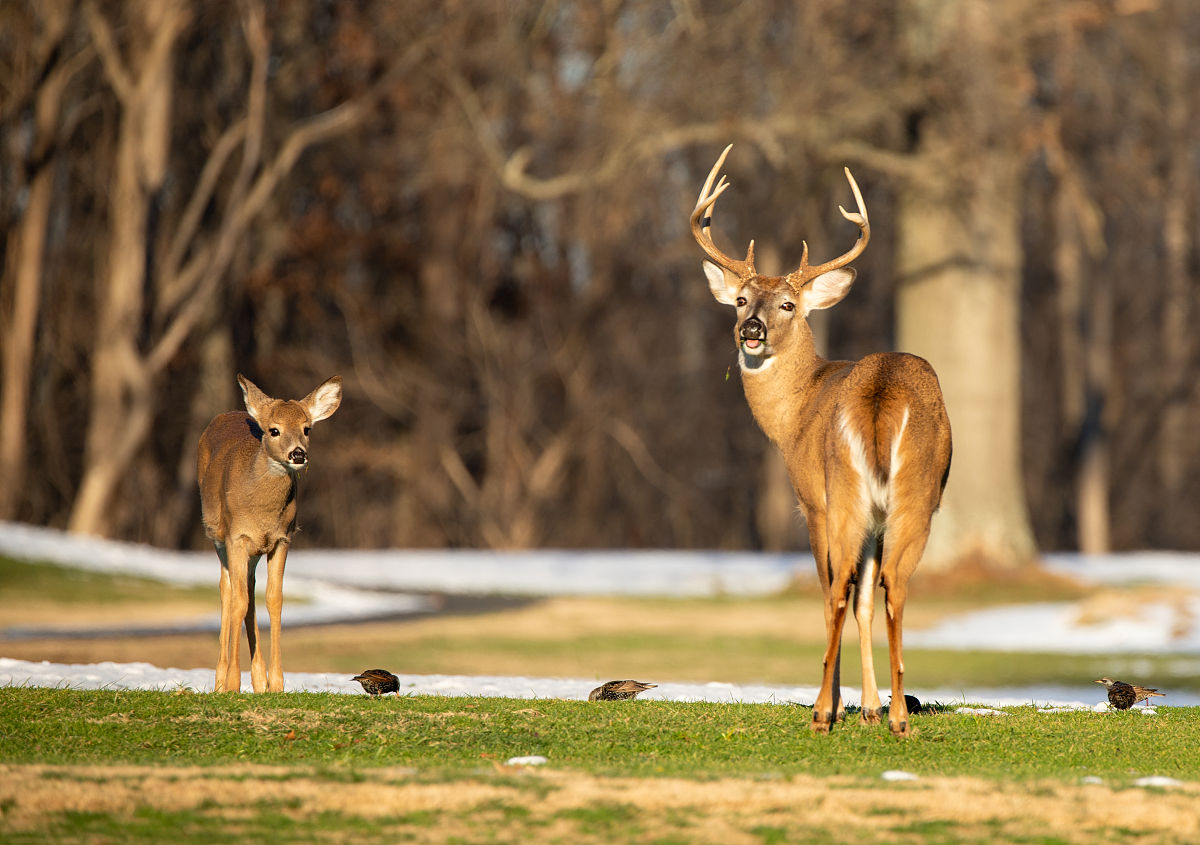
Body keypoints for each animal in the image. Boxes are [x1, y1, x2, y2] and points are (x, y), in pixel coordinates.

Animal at [197, 374, 342, 693]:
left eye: (306, 428)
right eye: (274, 430)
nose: (298, 454)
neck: (262, 512)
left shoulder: (282, 539)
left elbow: (274, 601)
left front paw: (276, 682)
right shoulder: (236, 537)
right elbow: (237, 601)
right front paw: (233, 684)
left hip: (253, 552)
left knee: (249, 591)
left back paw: (258, 679)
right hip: (218, 536)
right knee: (228, 591)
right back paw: (221, 680)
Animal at [691, 145, 951, 736]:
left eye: (788, 305)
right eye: (741, 300)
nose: (752, 330)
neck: (796, 412)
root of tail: (880, 393)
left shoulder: (810, 499)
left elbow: (835, 591)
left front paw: (840, 705)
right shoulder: (874, 518)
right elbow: (864, 601)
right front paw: (872, 708)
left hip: (845, 493)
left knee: (835, 591)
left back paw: (821, 712)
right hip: (907, 496)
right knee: (891, 587)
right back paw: (899, 716)